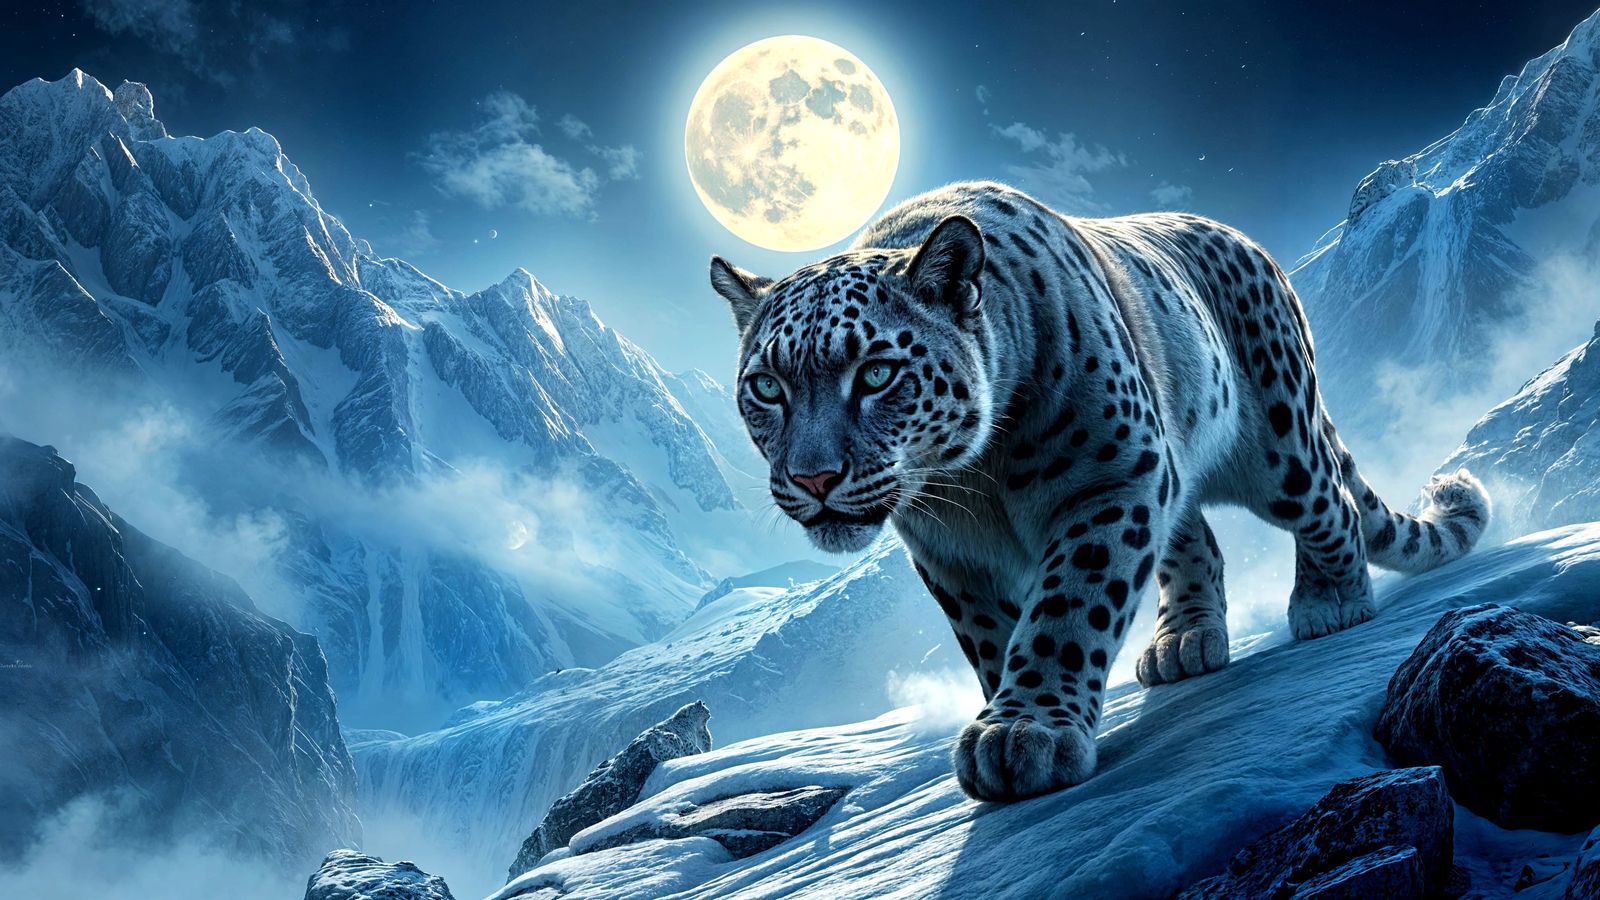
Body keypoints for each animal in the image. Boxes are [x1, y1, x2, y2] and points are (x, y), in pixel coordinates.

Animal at [709, 181, 1490, 801]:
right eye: (767, 387)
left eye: (875, 373)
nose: (813, 478)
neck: (973, 480)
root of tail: (1254, 249)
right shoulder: (949, 554)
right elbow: (990, 637)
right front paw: (1011, 716)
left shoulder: (1111, 480)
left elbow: (1068, 608)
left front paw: (1025, 732)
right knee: (1198, 538)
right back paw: (1185, 643)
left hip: (1278, 444)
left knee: (1331, 505)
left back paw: (1331, 604)